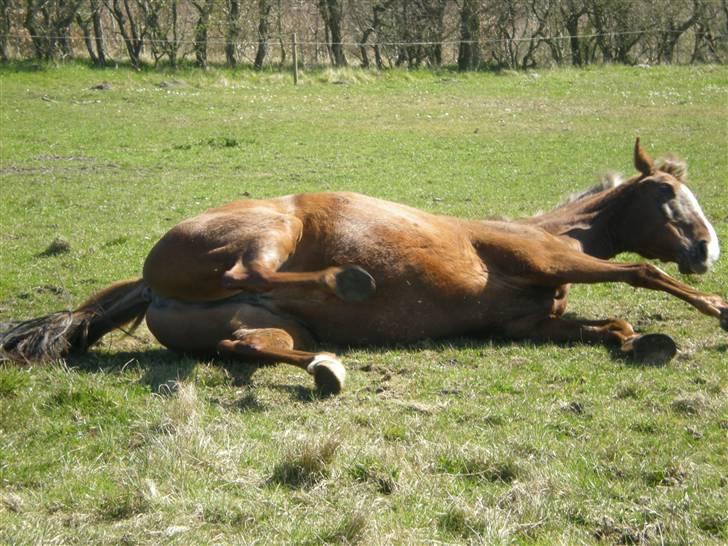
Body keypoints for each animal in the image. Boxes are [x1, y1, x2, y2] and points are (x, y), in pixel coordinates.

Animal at [2, 138, 724, 394]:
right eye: (669, 193)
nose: (706, 250)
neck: (546, 231)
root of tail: (149, 285)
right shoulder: (544, 263)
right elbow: (642, 275)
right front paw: (717, 310)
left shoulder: (530, 327)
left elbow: (615, 327)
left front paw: (643, 340)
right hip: (273, 229)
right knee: (249, 272)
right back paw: (348, 281)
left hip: (252, 325)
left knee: (248, 344)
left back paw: (327, 368)